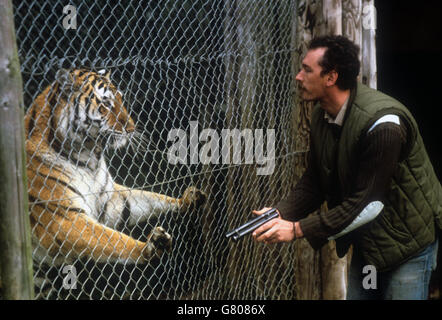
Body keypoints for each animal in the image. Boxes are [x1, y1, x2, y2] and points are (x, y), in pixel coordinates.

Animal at [25, 68, 207, 298]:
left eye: (121, 99)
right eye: (106, 104)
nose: (131, 128)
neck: (88, 158)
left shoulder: (112, 200)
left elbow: (150, 199)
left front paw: (188, 200)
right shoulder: (64, 218)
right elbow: (113, 240)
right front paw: (149, 247)